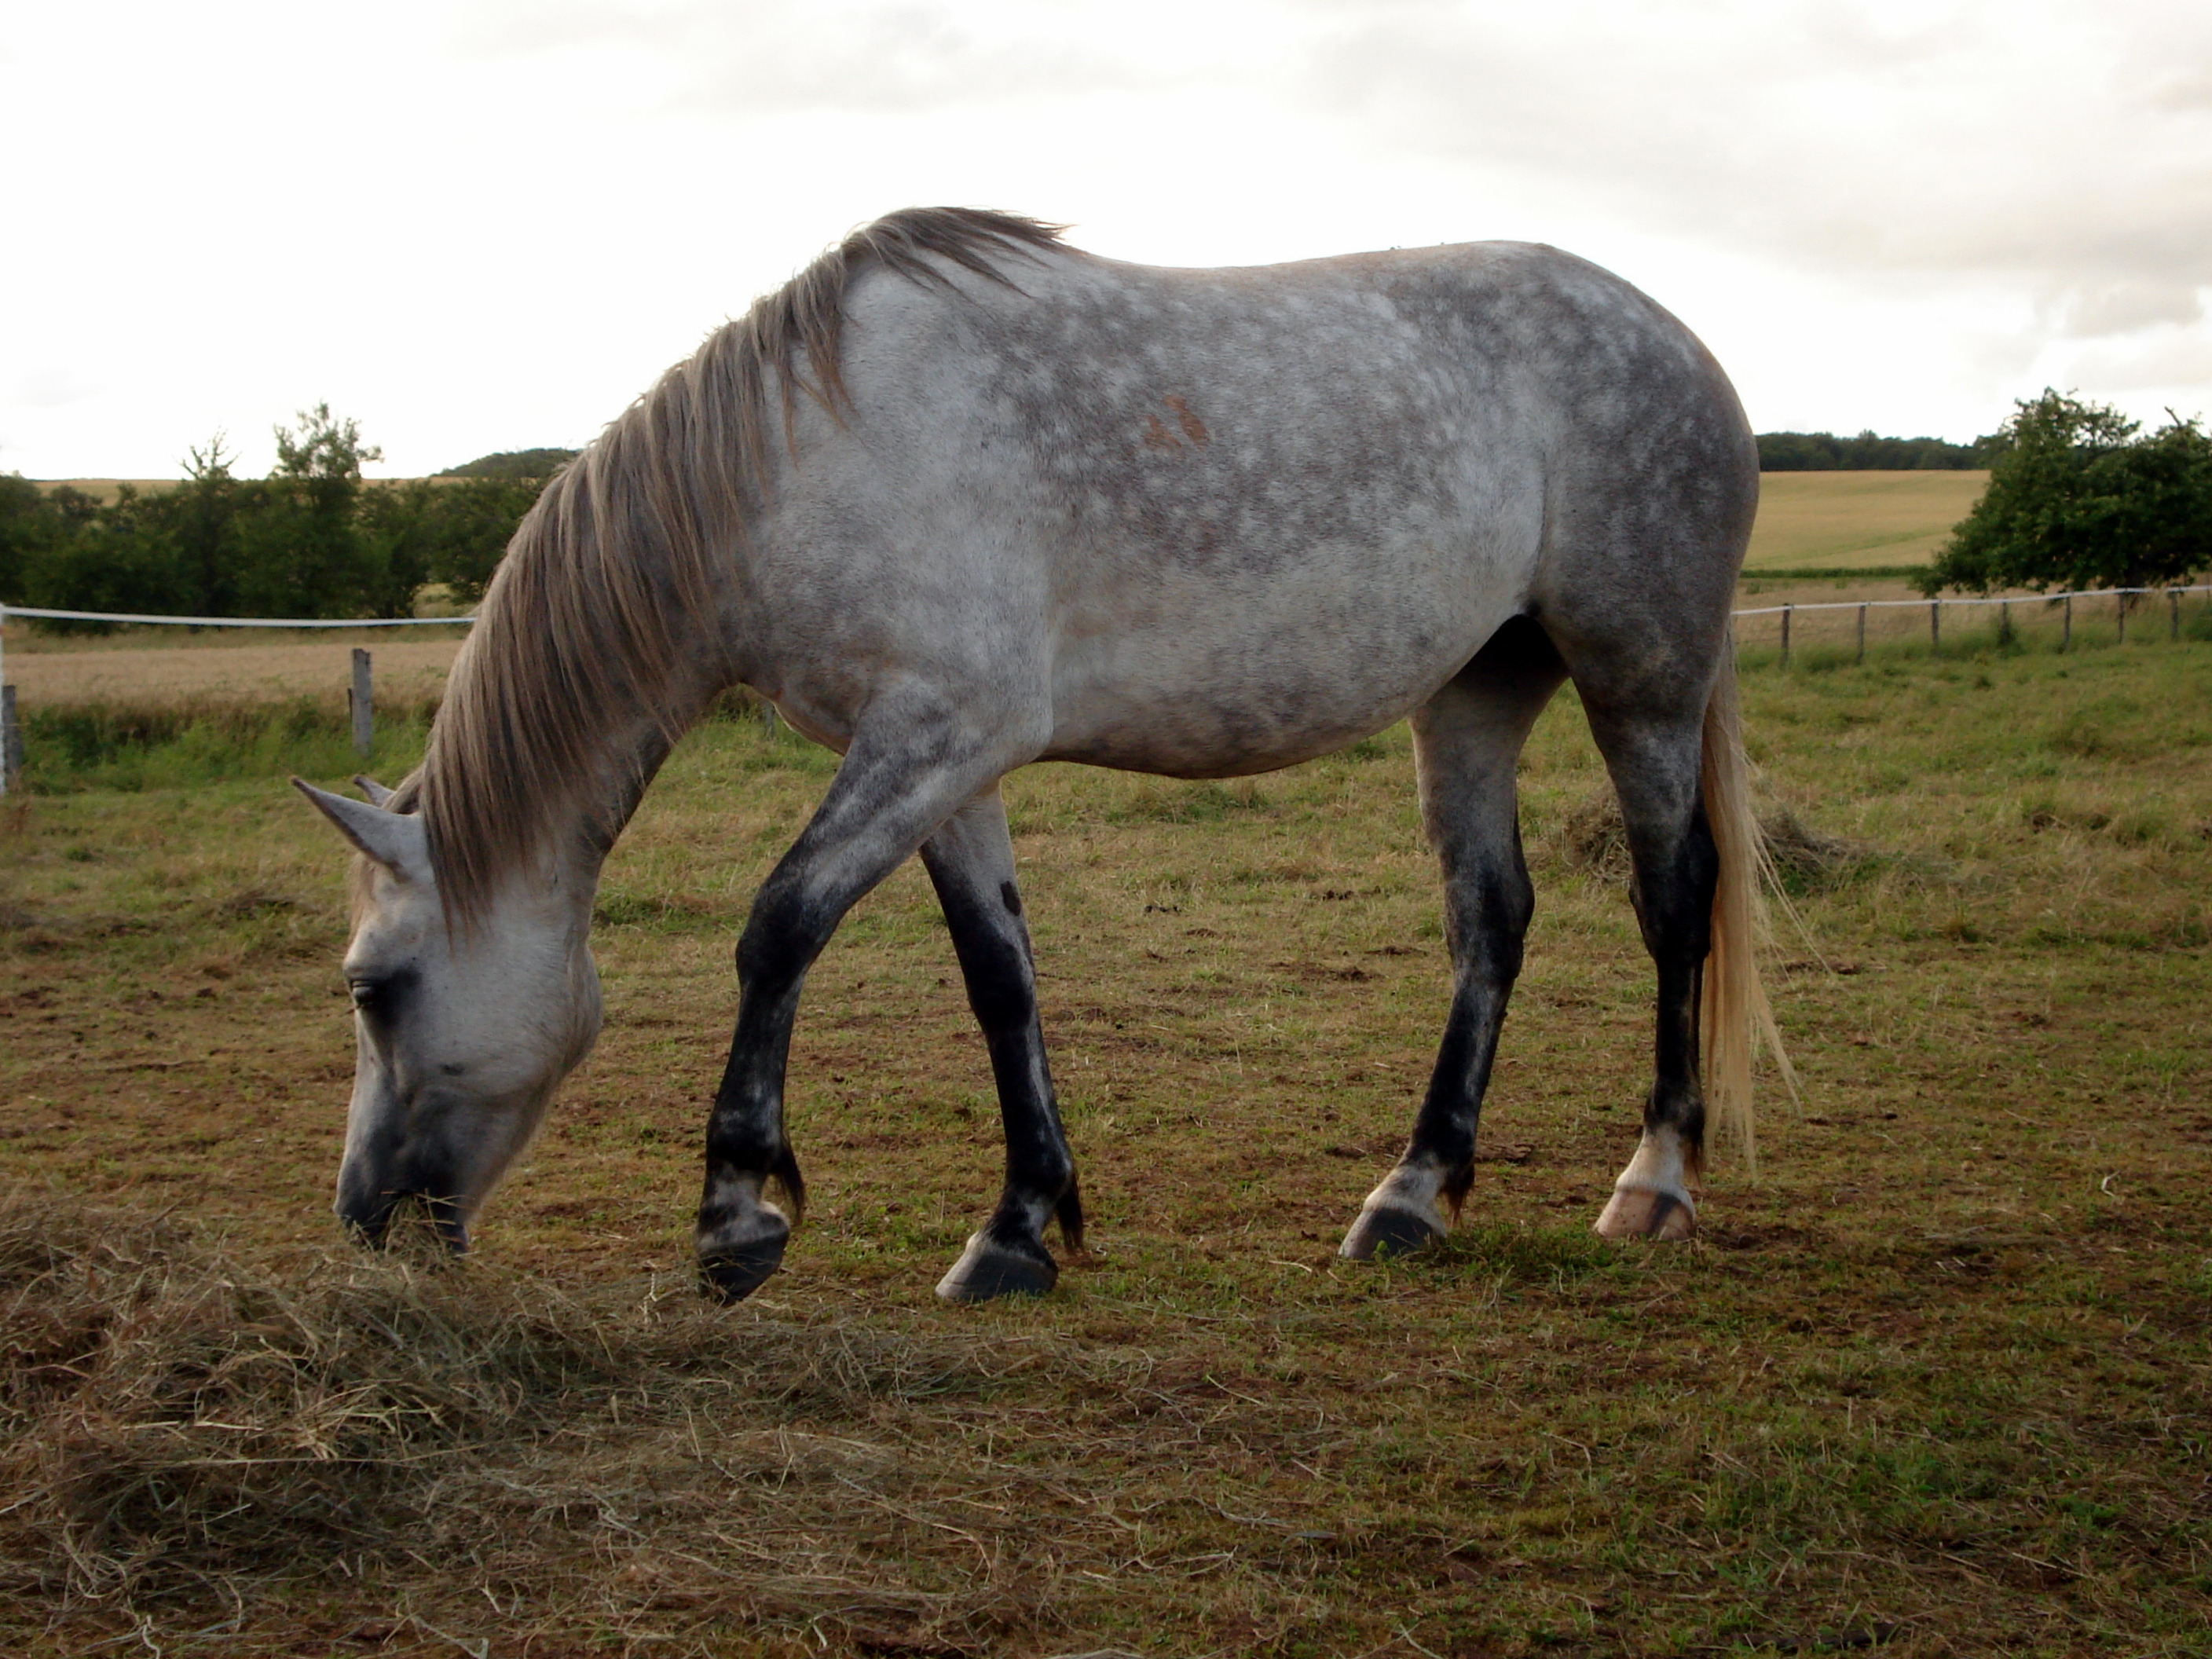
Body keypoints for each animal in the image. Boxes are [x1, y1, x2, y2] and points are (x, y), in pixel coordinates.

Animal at [298, 207, 1778, 1309]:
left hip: (1640, 682)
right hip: (1476, 690)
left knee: (1672, 901)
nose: (364, 1218)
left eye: (374, 988)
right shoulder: (948, 767)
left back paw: (1656, 1181)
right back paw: (1411, 1198)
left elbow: (778, 929)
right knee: (1492, 919)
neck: (798, 458)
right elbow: (998, 977)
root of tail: (1681, 340)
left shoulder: (932, 737)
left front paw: (736, 1216)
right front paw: (1020, 1226)